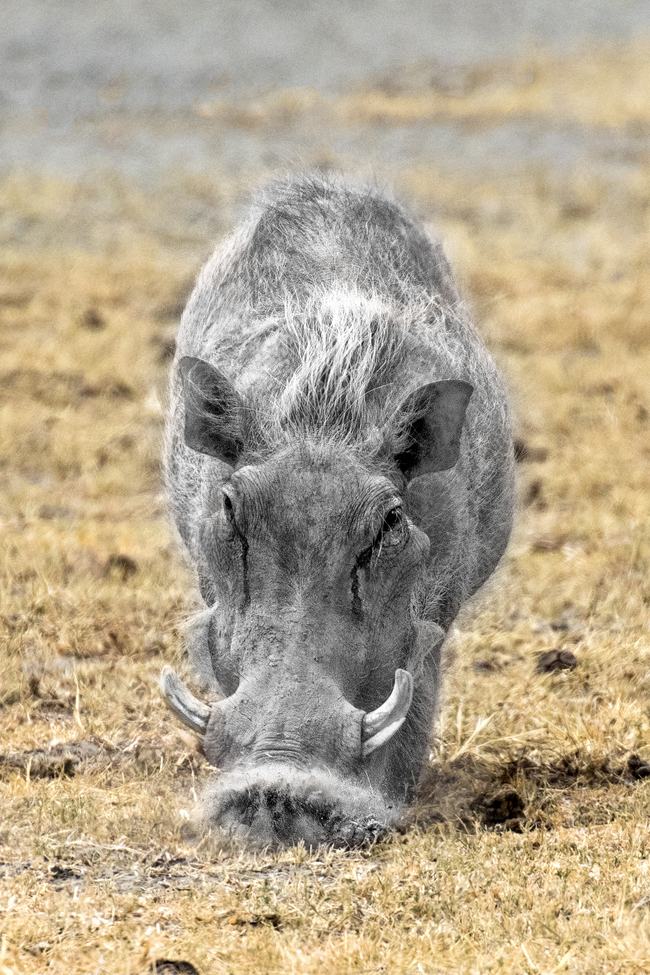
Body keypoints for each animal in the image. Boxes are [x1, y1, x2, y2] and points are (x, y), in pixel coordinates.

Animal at [161, 172, 514, 848]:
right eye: (230, 507)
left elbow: (412, 700)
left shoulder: (431, 617)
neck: (325, 411)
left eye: (390, 523)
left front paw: (374, 810)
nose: (278, 787)